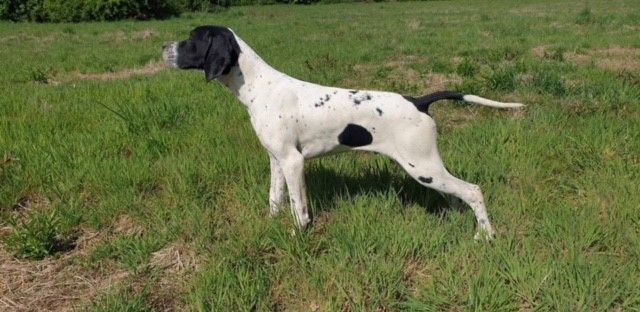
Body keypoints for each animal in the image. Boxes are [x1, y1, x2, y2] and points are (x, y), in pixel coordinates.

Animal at [161, 25, 524, 240]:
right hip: (429, 168)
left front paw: (298, 237)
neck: (259, 86)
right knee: (456, 195)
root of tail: (418, 101)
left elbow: (299, 209)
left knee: (473, 191)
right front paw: (270, 226)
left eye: (192, 39)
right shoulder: (277, 161)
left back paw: (486, 236)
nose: (163, 47)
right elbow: (275, 200)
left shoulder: (293, 162)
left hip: (422, 167)